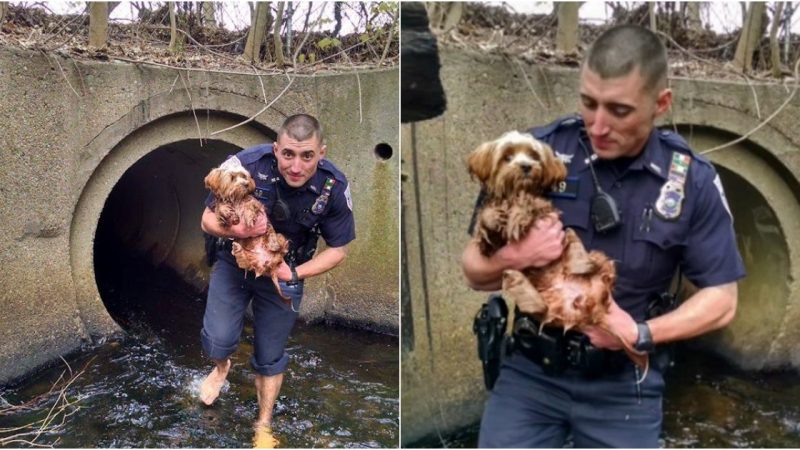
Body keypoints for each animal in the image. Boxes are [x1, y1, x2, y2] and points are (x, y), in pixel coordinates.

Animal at [206, 156, 290, 304]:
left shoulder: (255, 204)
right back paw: (238, 249)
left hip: (279, 237)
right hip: (247, 258)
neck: (236, 198)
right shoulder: (222, 206)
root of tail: (269, 265)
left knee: (280, 246)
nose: (246, 184)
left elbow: (250, 206)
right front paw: (226, 212)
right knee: (244, 262)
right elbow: (220, 209)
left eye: (244, 176)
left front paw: (249, 216)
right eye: (232, 177)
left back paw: (274, 244)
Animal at [466, 131, 648, 376]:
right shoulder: (491, 245)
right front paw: (493, 217)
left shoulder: (546, 210)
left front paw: (518, 213)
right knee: (538, 306)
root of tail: (589, 307)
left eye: (534, 155)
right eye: (507, 156)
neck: (515, 191)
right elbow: (486, 227)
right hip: (546, 309)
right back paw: (516, 279)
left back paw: (580, 263)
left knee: (590, 256)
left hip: (595, 258)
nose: (526, 166)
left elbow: (530, 203)